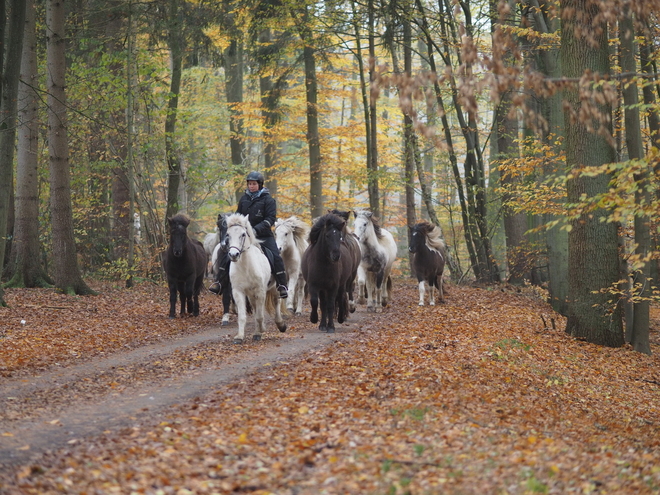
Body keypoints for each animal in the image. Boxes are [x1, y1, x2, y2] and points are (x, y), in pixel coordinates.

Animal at [222, 213, 286, 344]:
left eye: (243, 234)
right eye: (228, 235)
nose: (233, 255)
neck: (245, 266)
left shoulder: (260, 291)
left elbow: (260, 316)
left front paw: (261, 330)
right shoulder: (238, 292)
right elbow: (243, 316)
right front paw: (239, 337)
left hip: (274, 288)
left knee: (276, 302)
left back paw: (280, 325)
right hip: (251, 294)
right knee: (256, 307)